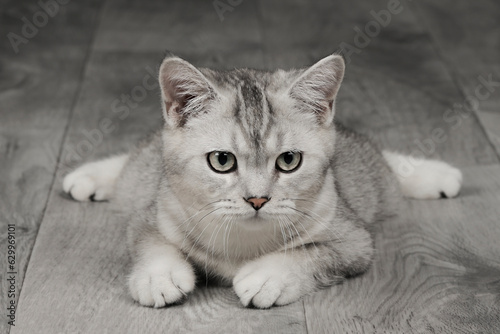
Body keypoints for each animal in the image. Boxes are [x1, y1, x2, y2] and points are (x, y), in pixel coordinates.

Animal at [63, 54, 464, 308]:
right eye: (222, 161)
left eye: (289, 161)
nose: (257, 199)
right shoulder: (153, 212)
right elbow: (150, 242)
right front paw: (158, 276)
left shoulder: (355, 242)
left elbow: (312, 253)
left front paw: (270, 275)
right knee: (136, 163)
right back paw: (89, 176)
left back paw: (437, 174)